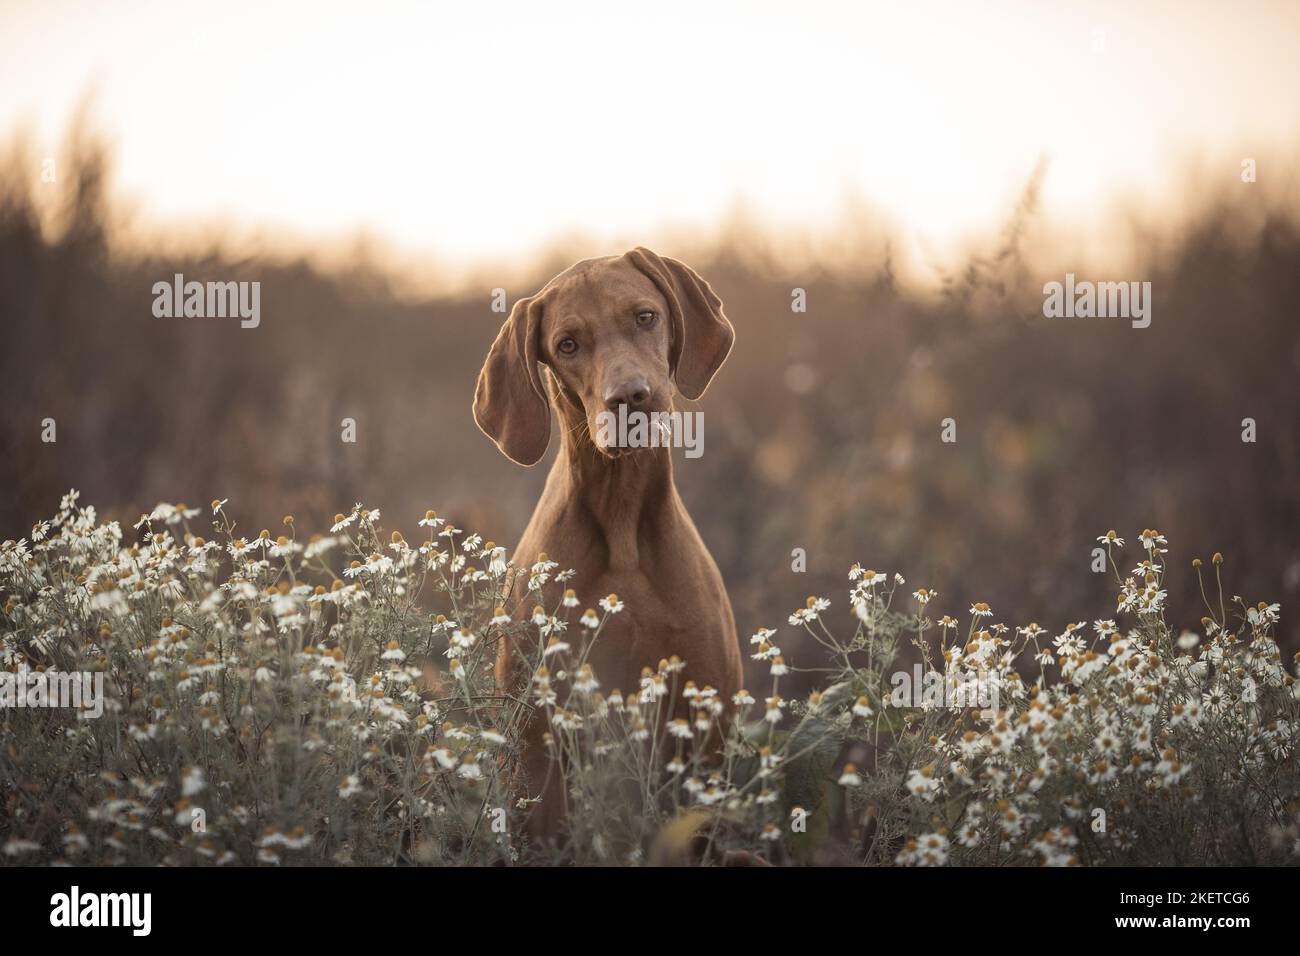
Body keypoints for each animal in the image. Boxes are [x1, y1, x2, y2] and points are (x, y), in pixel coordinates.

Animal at [475, 247, 743, 837]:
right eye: (567, 345)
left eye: (645, 316)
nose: (630, 397)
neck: (622, 525)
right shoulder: (537, 743)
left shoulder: (706, 728)